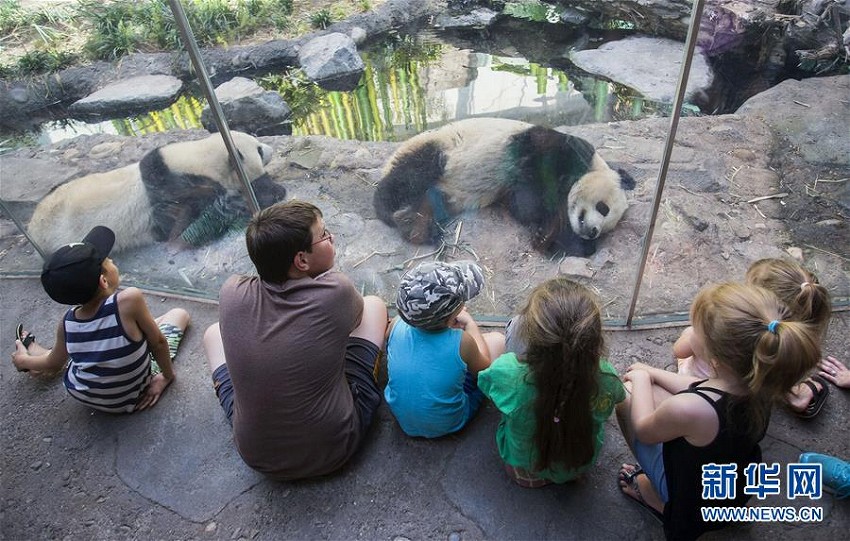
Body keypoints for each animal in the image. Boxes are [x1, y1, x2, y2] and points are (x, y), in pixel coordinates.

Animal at [374, 117, 632, 255]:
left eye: (607, 227)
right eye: (603, 208)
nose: (593, 231)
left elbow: (521, 203)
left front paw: (549, 236)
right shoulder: (548, 148)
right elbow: (528, 199)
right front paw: (544, 227)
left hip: (443, 192)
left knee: (429, 201)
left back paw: (416, 226)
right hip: (437, 149)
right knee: (410, 174)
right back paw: (388, 209)